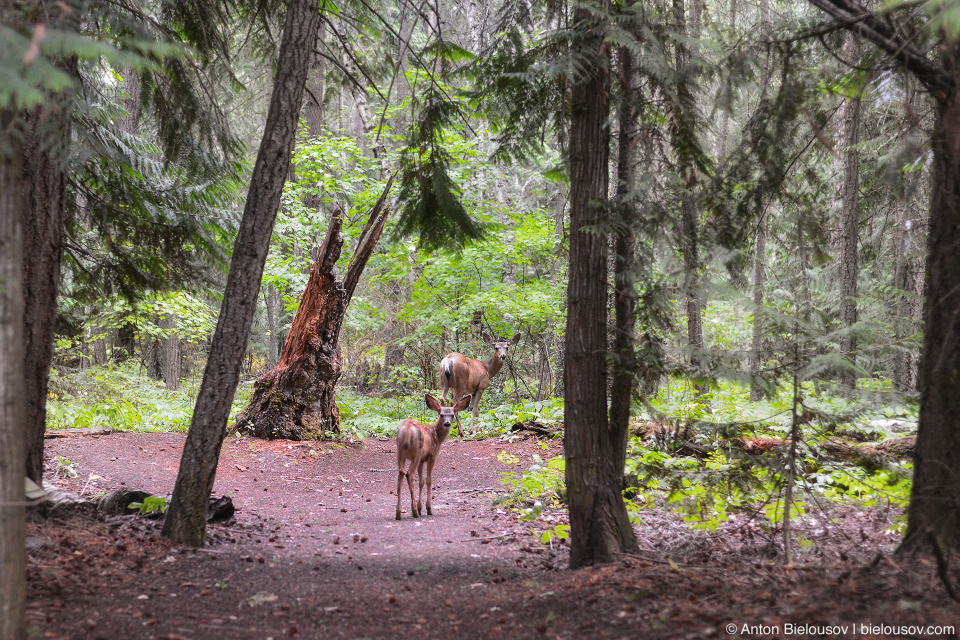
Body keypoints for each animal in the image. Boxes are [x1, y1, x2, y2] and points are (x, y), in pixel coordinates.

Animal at [398, 390, 472, 520]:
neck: (437, 436)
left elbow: (421, 481)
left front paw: (420, 507)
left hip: (400, 451)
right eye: (441, 414)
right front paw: (428, 508)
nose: (447, 423)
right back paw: (414, 511)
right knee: (409, 474)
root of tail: (407, 428)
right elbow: (429, 480)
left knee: (401, 473)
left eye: (452, 415)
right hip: (416, 452)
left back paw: (398, 513)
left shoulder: (422, 459)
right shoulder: (431, 455)